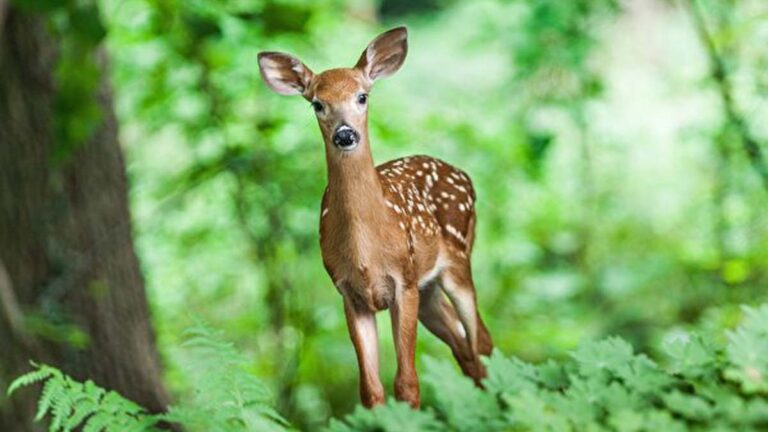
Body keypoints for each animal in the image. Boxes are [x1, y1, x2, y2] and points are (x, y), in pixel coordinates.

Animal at [257, 26, 493, 409]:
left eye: (362, 96)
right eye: (317, 103)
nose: (345, 134)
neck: (366, 250)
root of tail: (463, 175)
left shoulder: (404, 282)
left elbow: (407, 383)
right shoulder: (349, 293)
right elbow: (370, 389)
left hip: (457, 260)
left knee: (481, 341)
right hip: (428, 291)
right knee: (465, 349)